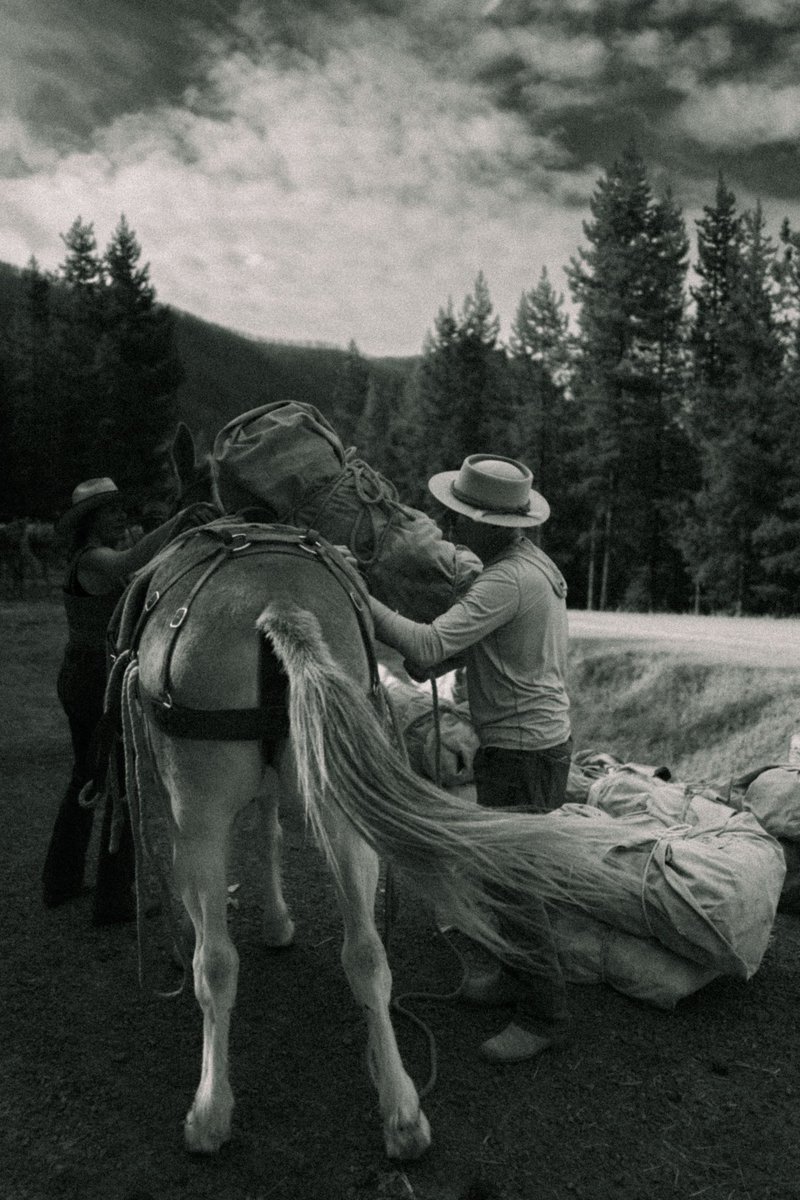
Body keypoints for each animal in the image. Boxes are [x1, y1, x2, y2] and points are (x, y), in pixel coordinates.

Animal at [118, 520, 628, 1156]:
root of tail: (277, 605)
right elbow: (270, 834)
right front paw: (279, 923)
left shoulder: (185, 812)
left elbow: (249, 857)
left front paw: (255, 927)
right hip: (343, 814)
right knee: (366, 955)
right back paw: (403, 1113)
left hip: (201, 817)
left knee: (214, 964)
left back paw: (210, 1112)